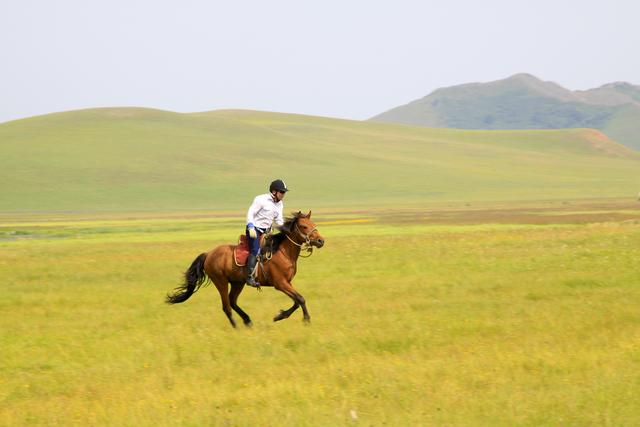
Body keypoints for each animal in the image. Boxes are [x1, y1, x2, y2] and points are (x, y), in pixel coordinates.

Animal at [165, 211, 324, 328]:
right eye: (303, 226)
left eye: (313, 224)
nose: (321, 241)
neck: (283, 251)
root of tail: (209, 254)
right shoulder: (280, 284)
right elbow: (300, 299)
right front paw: (305, 319)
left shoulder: (287, 283)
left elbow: (297, 300)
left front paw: (280, 316)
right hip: (221, 282)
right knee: (226, 306)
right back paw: (236, 327)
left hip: (238, 283)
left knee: (232, 301)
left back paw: (247, 321)